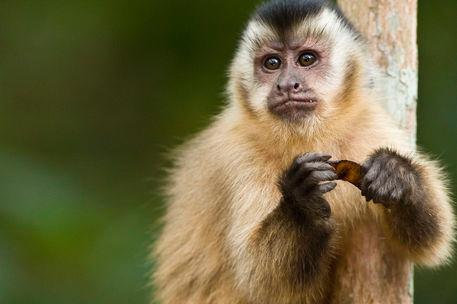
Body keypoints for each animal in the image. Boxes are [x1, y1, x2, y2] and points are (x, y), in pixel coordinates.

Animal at [152, 0, 452, 304]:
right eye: (272, 63)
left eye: (306, 59)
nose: (286, 84)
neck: (307, 137)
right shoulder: (237, 154)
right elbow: (262, 281)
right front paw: (303, 202)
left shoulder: (371, 126)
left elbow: (428, 240)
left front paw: (397, 174)